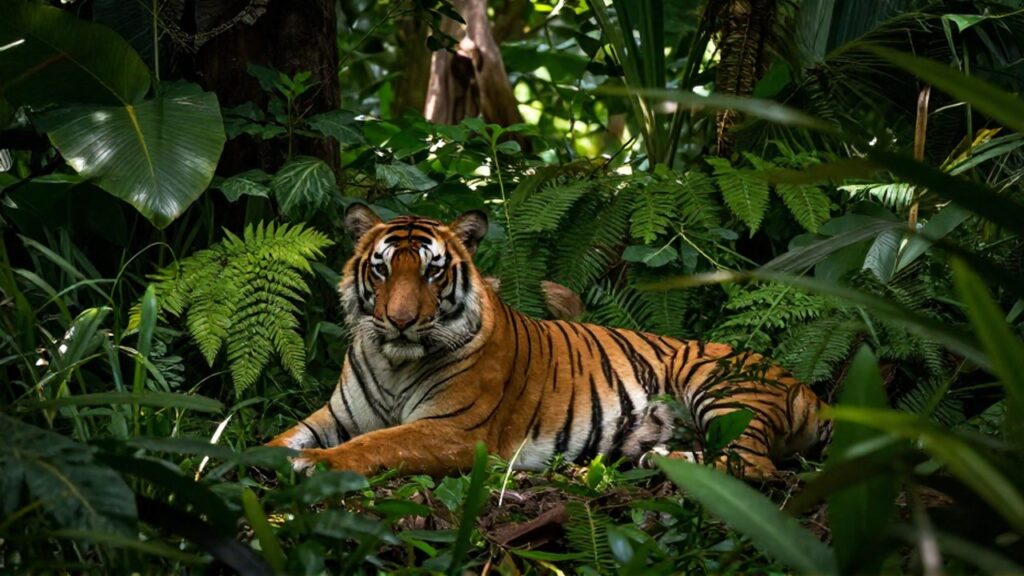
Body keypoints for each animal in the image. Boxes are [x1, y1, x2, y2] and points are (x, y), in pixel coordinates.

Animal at [267, 204, 830, 481]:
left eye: (432, 272)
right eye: (382, 269)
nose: (400, 321)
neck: (393, 361)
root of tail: (808, 388)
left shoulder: (454, 431)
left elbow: (379, 443)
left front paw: (317, 464)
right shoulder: (335, 415)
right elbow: (285, 436)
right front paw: (254, 457)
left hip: (719, 384)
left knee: (754, 465)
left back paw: (666, 463)